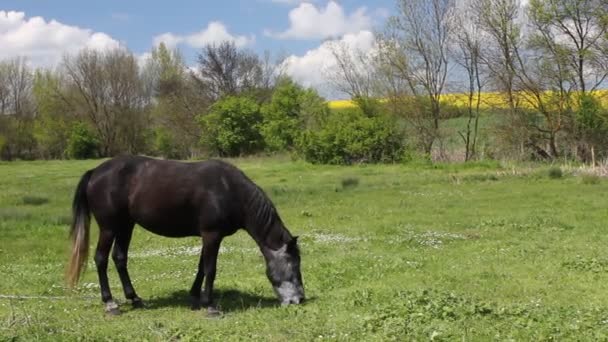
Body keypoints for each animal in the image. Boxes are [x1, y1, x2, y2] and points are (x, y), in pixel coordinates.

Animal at [66, 155, 304, 316]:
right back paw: (110, 303)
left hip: (126, 225)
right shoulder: (212, 235)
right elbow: (210, 269)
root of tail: (95, 172)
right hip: (109, 228)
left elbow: (201, 267)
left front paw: (195, 297)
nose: (299, 299)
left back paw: (134, 298)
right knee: (101, 259)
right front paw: (210, 305)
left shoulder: (208, 236)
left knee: (119, 258)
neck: (228, 190)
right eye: (293, 265)